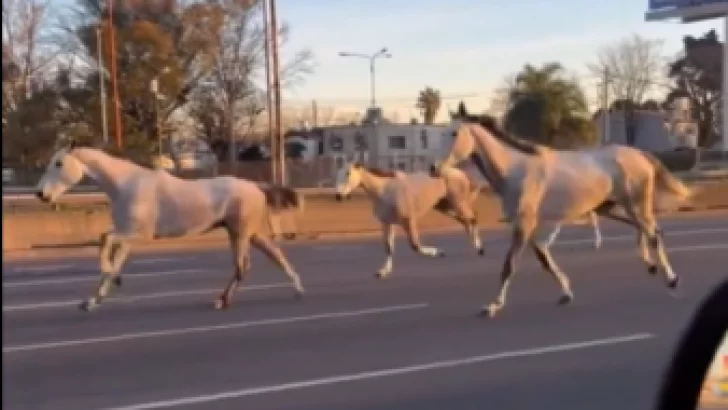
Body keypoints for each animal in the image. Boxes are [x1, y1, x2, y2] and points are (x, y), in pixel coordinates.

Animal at [34, 143, 304, 312]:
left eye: (59, 163)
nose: (40, 194)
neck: (125, 185)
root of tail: (257, 187)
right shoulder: (127, 237)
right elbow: (110, 254)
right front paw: (92, 301)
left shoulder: (138, 234)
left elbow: (104, 240)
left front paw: (110, 282)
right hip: (249, 233)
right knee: (275, 255)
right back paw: (297, 290)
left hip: (240, 233)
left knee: (242, 267)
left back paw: (221, 301)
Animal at [336, 162, 484, 278]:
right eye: (339, 173)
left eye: (348, 173)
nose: (338, 196)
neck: (385, 190)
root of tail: (460, 173)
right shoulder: (387, 223)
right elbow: (389, 248)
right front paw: (383, 272)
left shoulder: (408, 220)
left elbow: (415, 245)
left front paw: (439, 252)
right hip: (444, 207)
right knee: (466, 221)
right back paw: (475, 248)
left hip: (458, 204)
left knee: (473, 219)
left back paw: (480, 248)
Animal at [436, 113, 692, 318]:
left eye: (455, 133)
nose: (434, 168)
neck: (516, 170)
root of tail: (639, 154)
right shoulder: (535, 226)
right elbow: (544, 259)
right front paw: (566, 293)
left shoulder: (525, 223)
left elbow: (510, 265)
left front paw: (492, 306)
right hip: (608, 207)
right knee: (646, 229)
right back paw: (651, 266)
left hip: (636, 204)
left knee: (653, 233)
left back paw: (671, 278)